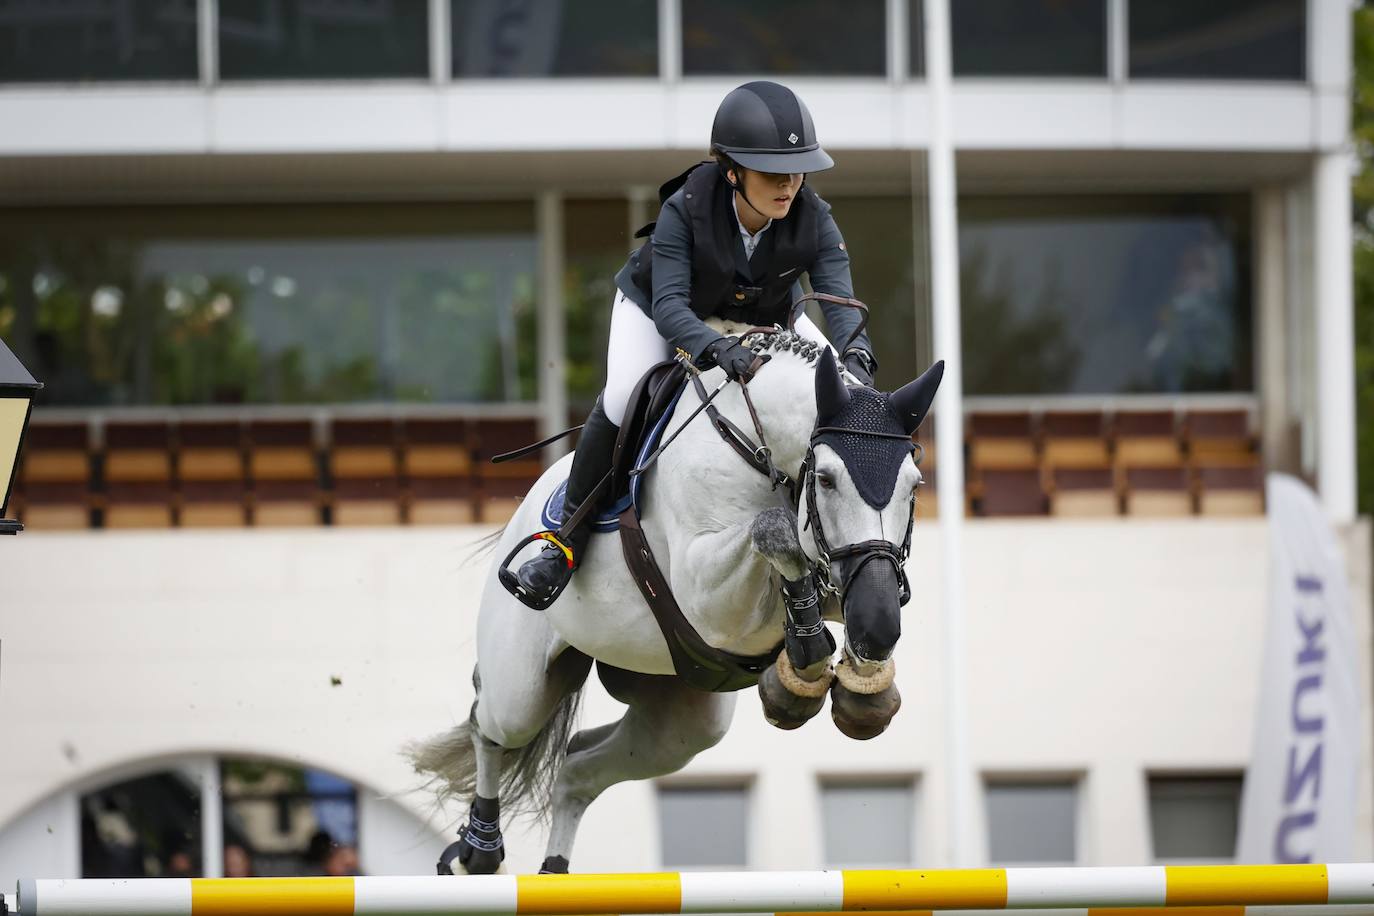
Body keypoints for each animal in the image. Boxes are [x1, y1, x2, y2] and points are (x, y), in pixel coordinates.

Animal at [406, 329, 945, 873]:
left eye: (914, 485)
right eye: (828, 479)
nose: (876, 625)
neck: (755, 445)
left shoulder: (853, 578)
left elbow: (822, 570)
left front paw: (858, 686)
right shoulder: (706, 593)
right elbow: (775, 530)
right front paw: (807, 658)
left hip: (679, 724)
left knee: (578, 769)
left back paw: (551, 869)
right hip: (520, 686)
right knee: (489, 726)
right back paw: (476, 850)